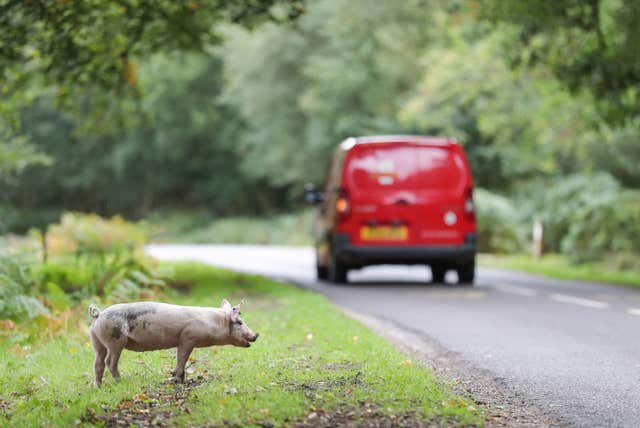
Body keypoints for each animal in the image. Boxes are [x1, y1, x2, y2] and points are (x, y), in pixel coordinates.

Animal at [87, 300, 258, 386]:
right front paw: (179, 381)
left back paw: (98, 386)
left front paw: (180, 380)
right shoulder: (188, 338)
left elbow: (180, 359)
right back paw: (121, 382)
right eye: (240, 322)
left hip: (96, 341)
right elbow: (182, 359)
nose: (256, 335)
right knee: (109, 362)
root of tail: (99, 314)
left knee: (98, 363)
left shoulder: (182, 341)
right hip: (115, 340)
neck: (213, 324)